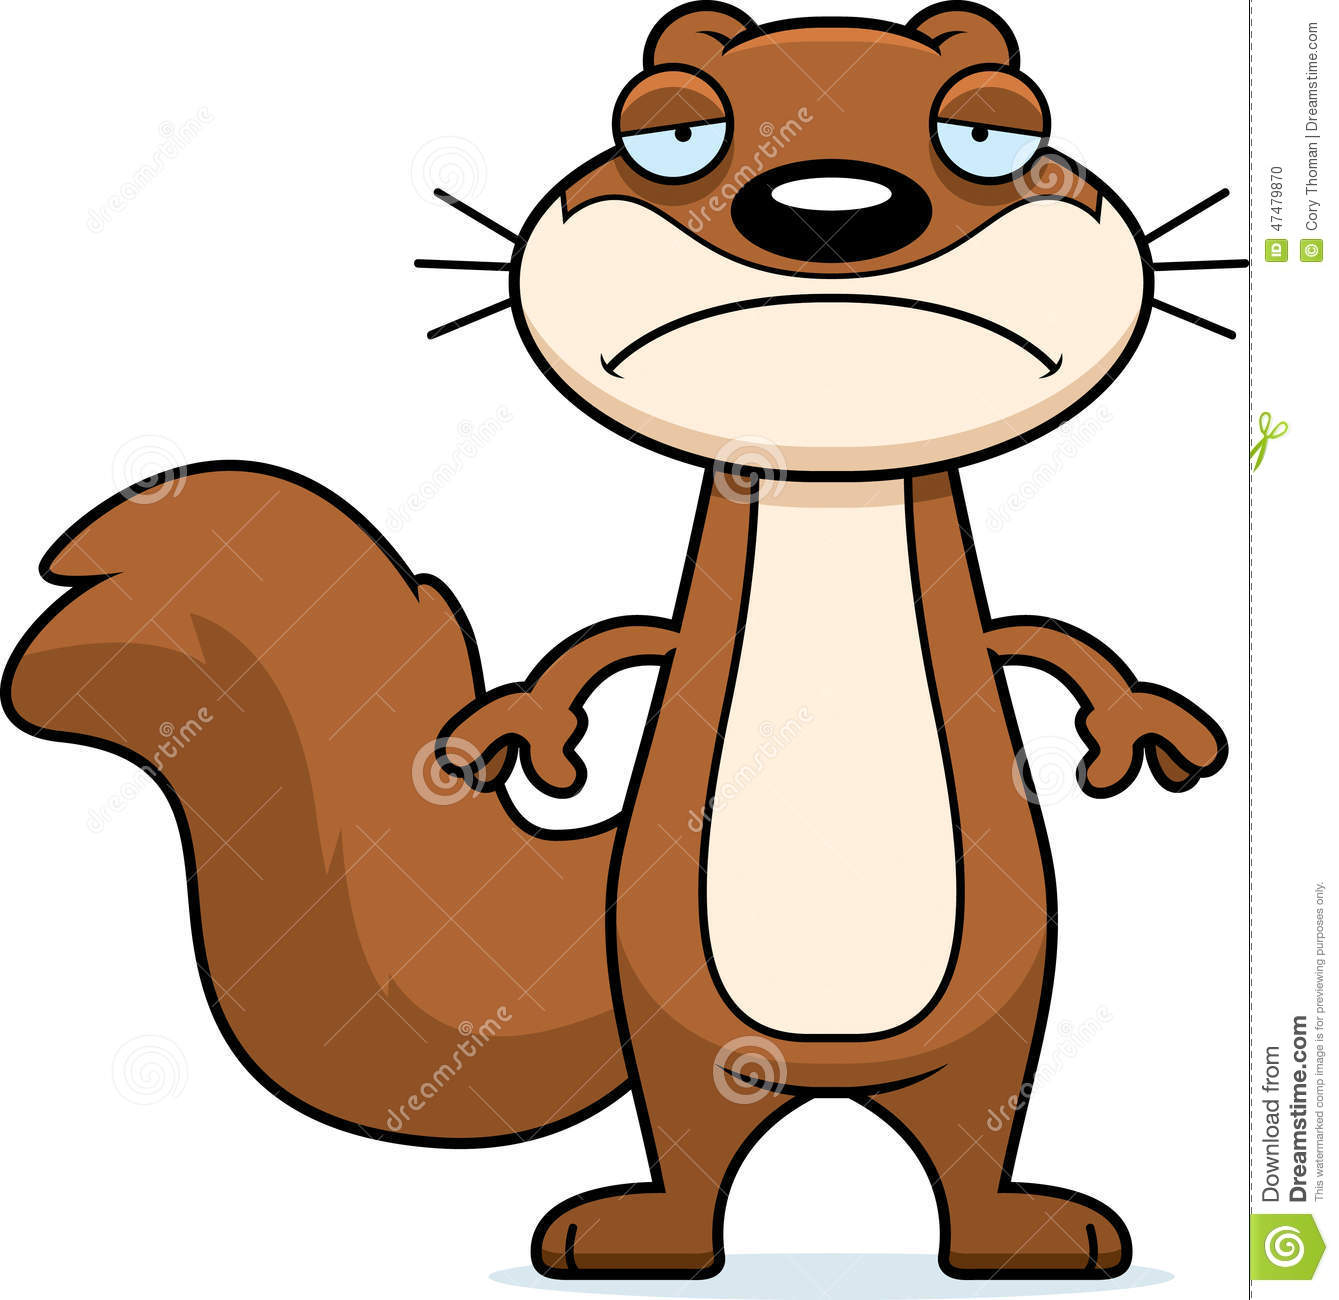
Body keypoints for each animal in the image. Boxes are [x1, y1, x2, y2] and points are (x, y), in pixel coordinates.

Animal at [4, 2, 1233, 1283]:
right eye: (671, 133)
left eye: (992, 134)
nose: (830, 211)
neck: (828, 486)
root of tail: (820, 1079)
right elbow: (610, 647)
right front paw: (513, 732)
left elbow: (1043, 640)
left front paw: (1144, 727)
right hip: (686, 1026)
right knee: (695, 1137)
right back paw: (648, 1238)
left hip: (988, 1013)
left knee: (970, 1131)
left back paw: (1014, 1233)